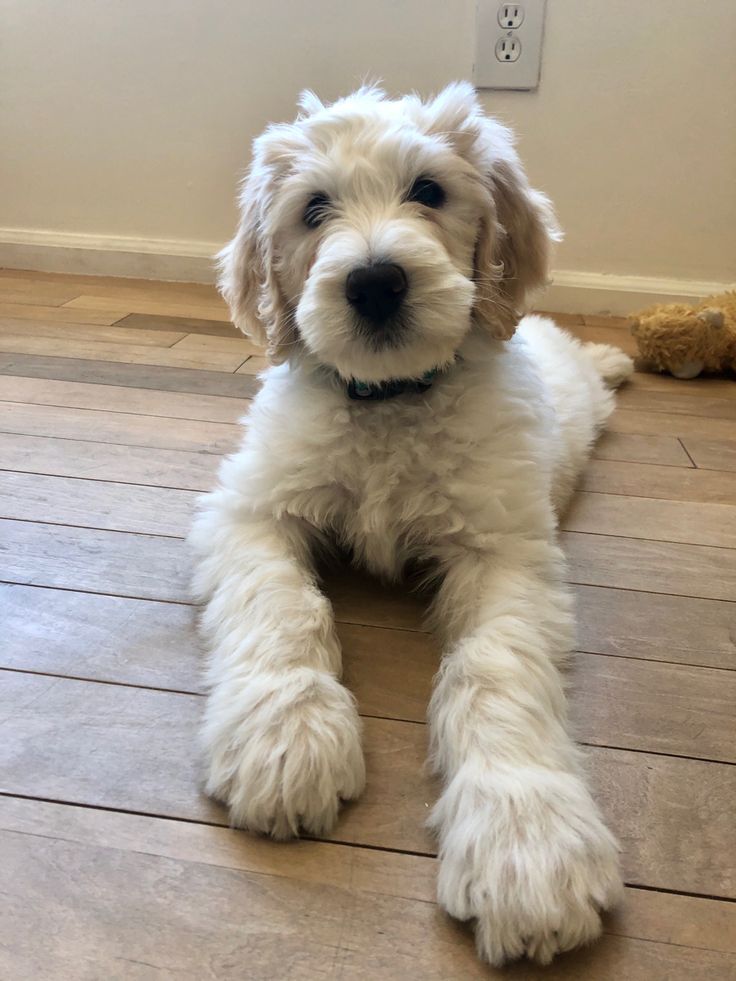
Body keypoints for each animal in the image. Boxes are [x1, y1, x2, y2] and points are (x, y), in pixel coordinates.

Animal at [191, 82, 632, 964]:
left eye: (428, 191)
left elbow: (494, 668)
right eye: (313, 208)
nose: (375, 282)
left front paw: (524, 841)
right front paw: (284, 738)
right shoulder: (251, 509)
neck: (389, 400)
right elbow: (282, 605)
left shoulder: (506, 550)